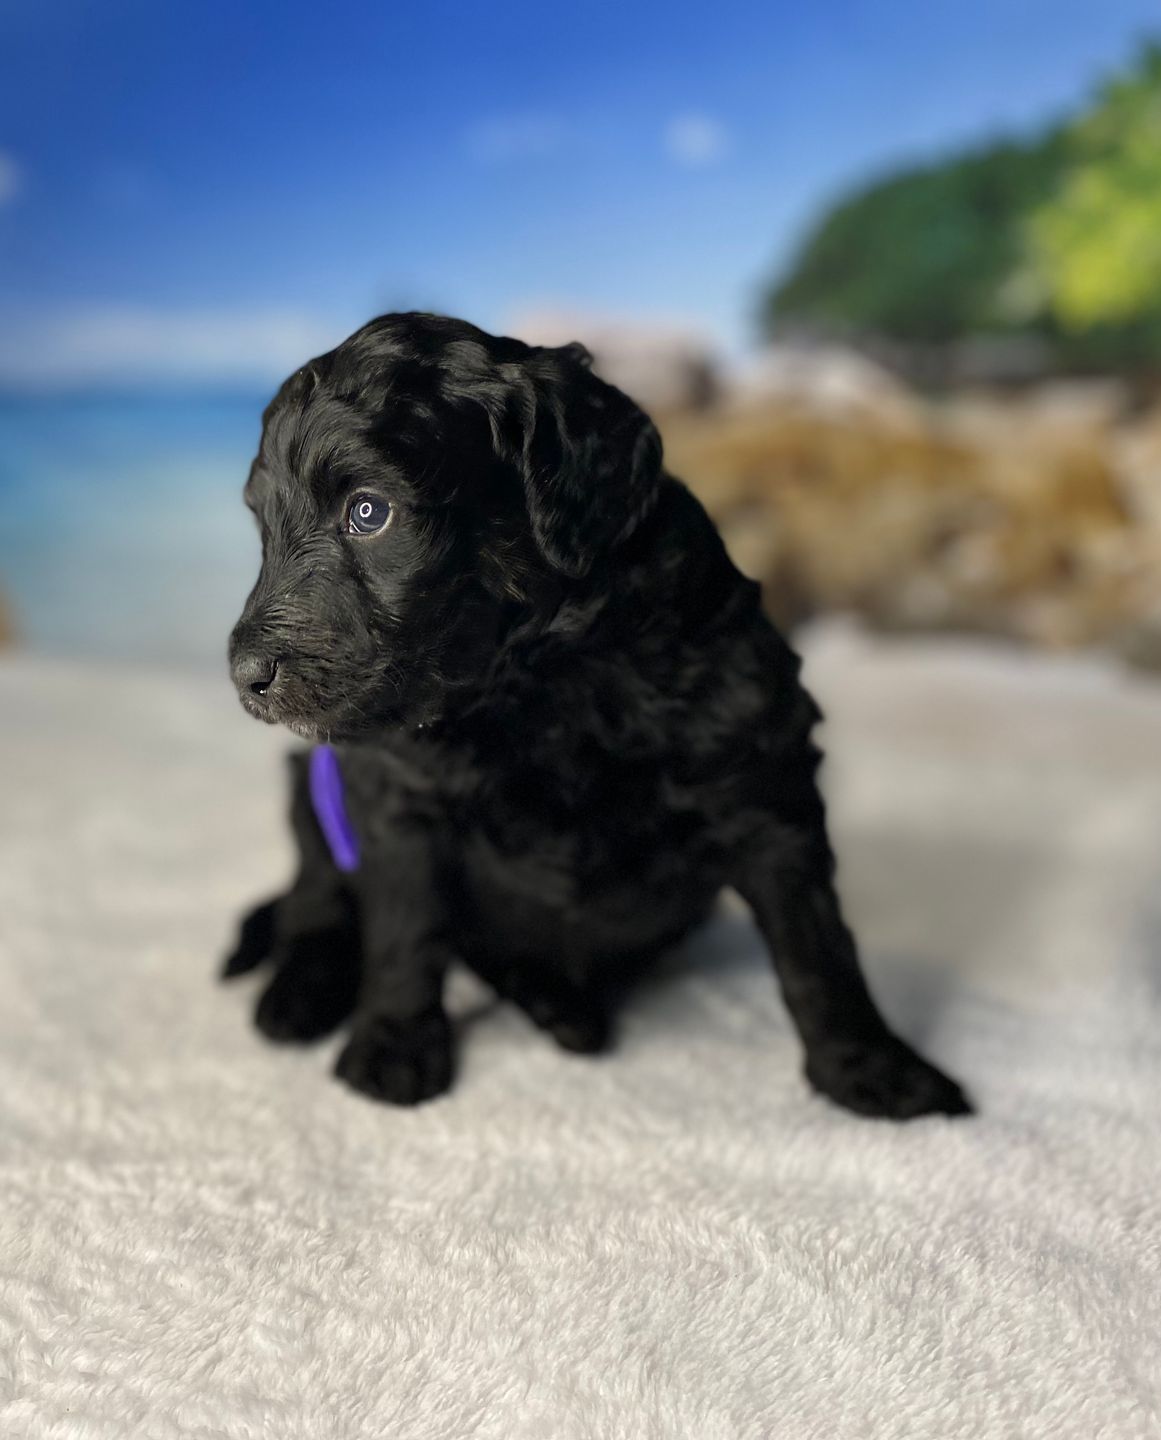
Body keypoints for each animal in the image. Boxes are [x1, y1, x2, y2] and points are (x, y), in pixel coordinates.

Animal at [223, 315, 967, 1117]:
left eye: (368, 511)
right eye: (263, 528)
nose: (244, 674)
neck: (538, 680)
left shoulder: (763, 779)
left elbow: (817, 947)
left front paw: (869, 1067)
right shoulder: (393, 792)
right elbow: (404, 927)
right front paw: (392, 1046)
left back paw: (558, 1003)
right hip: (310, 784)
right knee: (316, 901)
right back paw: (300, 994)